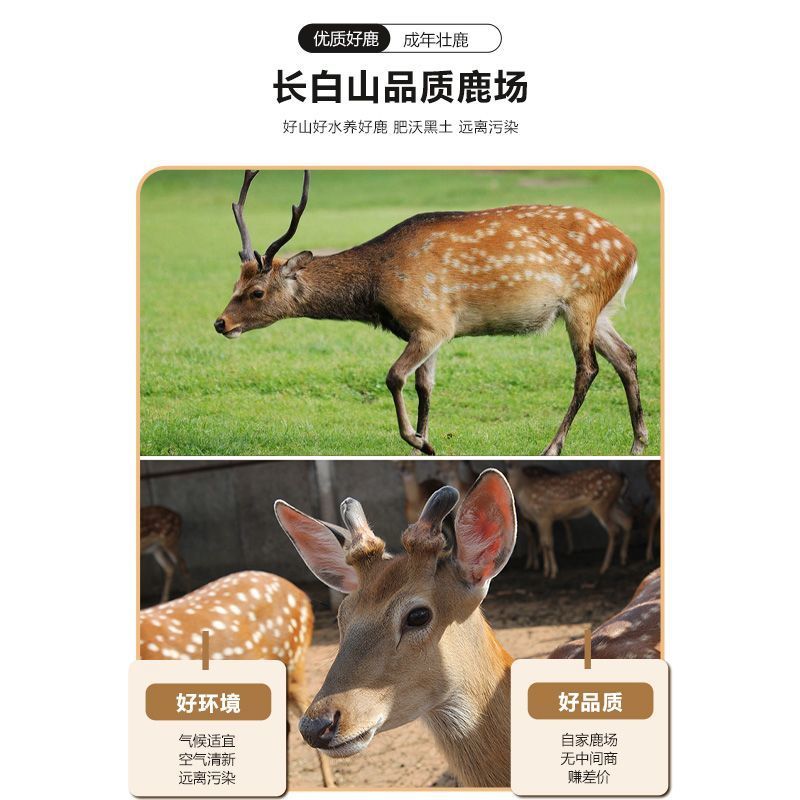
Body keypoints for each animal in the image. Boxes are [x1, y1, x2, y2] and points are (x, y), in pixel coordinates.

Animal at [214, 170, 648, 457]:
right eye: (234, 283)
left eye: (256, 292)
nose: (221, 323)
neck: (377, 286)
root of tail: (631, 250)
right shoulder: (430, 331)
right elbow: (425, 386)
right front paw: (425, 443)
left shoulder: (431, 321)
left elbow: (394, 377)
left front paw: (418, 441)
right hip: (600, 310)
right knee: (626, 356)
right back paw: (638, 442)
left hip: (582, 300)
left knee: (588, 368)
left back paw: (553, 446)